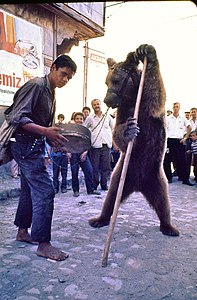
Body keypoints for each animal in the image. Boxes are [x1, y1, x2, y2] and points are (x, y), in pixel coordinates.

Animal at [89, 44, 180, 237]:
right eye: (106, 81)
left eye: (116, 80)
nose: (107, 100)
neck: (132, 98)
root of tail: (138, 185)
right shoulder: (123, 110)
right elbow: (118, 131)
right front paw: (130, 130)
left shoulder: (148, 106)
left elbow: (156, 95)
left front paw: (146, 51)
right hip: (123, 172)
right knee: (111, 196)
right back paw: (99, 219)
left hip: (155, 176)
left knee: (163, 202)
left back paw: (169, 227)